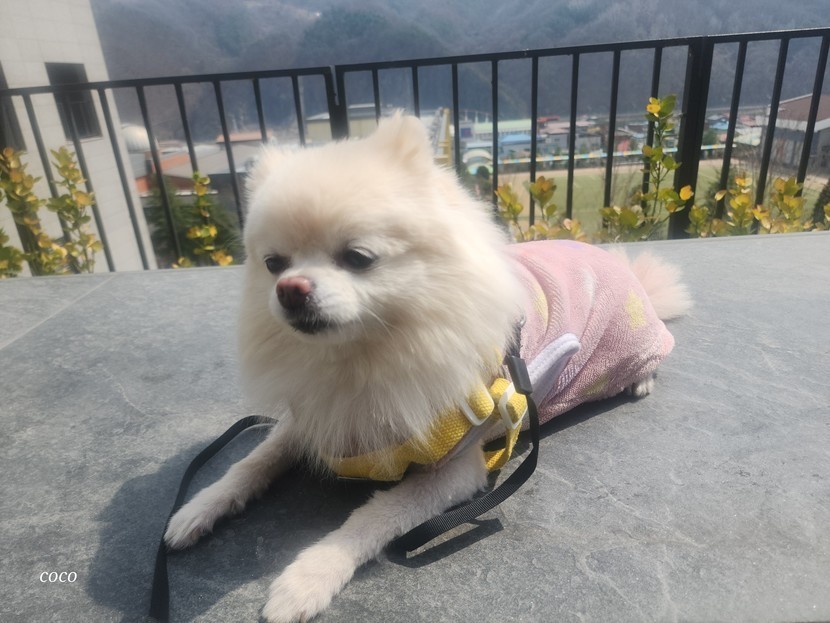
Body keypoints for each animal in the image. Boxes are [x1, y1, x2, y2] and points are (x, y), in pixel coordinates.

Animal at [164, 113, 691, 622]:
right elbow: (255, 460)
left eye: (357, 257)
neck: (364, 358)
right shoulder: (320, 418)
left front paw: (306, 579)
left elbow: (371, 518)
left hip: (630, 341)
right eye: (273, 263)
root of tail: (625, 271)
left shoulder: (457, 467)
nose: (290, 288)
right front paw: (199, 507)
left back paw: (641, 379)